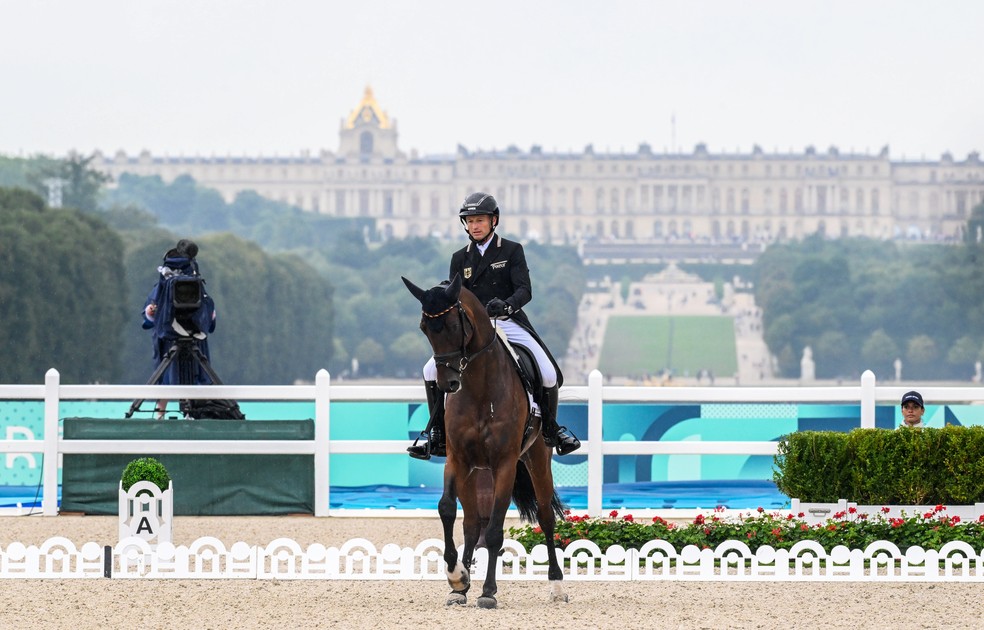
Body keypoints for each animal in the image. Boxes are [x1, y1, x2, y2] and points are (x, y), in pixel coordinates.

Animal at [402, 274, 568, 608]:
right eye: (424, 327)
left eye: (454, 325)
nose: (448, 384)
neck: (479, 387)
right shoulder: (457, 459)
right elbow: (447, 509)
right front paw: (457, 577)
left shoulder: (504, 464)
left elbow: (494, 531)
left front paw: (489, 591)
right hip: (475, 470)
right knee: (470, 523)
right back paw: (461, 587)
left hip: (537, 457)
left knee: (545, 517)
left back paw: (557, 586)